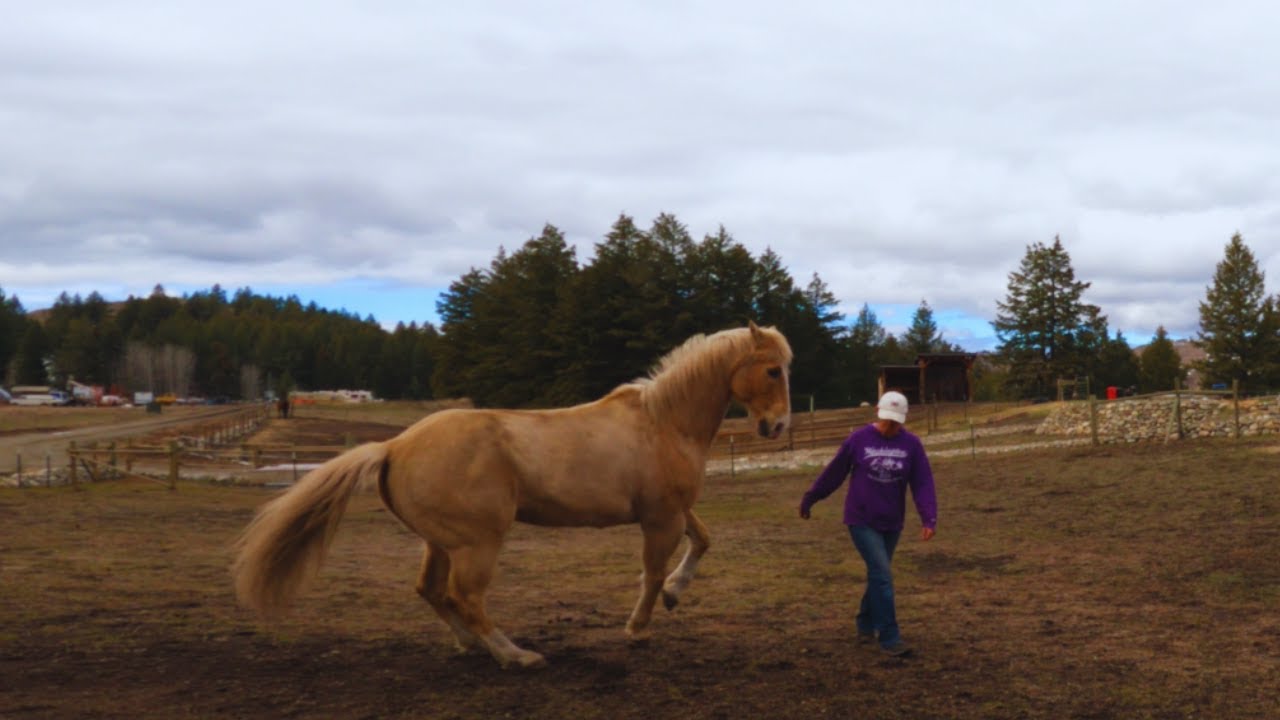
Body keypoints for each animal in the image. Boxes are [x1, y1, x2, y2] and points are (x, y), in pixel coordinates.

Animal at [233, 321, 792, 668]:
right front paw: (638, 626)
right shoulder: (660, 519)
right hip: (477, 541)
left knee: (432, 591)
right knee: (466, 596)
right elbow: (652, 573)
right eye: (773, 369)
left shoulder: (674, 511)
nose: (778, 425)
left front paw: (676, 594)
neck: (663, 422)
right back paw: (514, 655)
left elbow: (703, 542)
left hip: (440, 542)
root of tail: (394, 445)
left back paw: (470, 645)